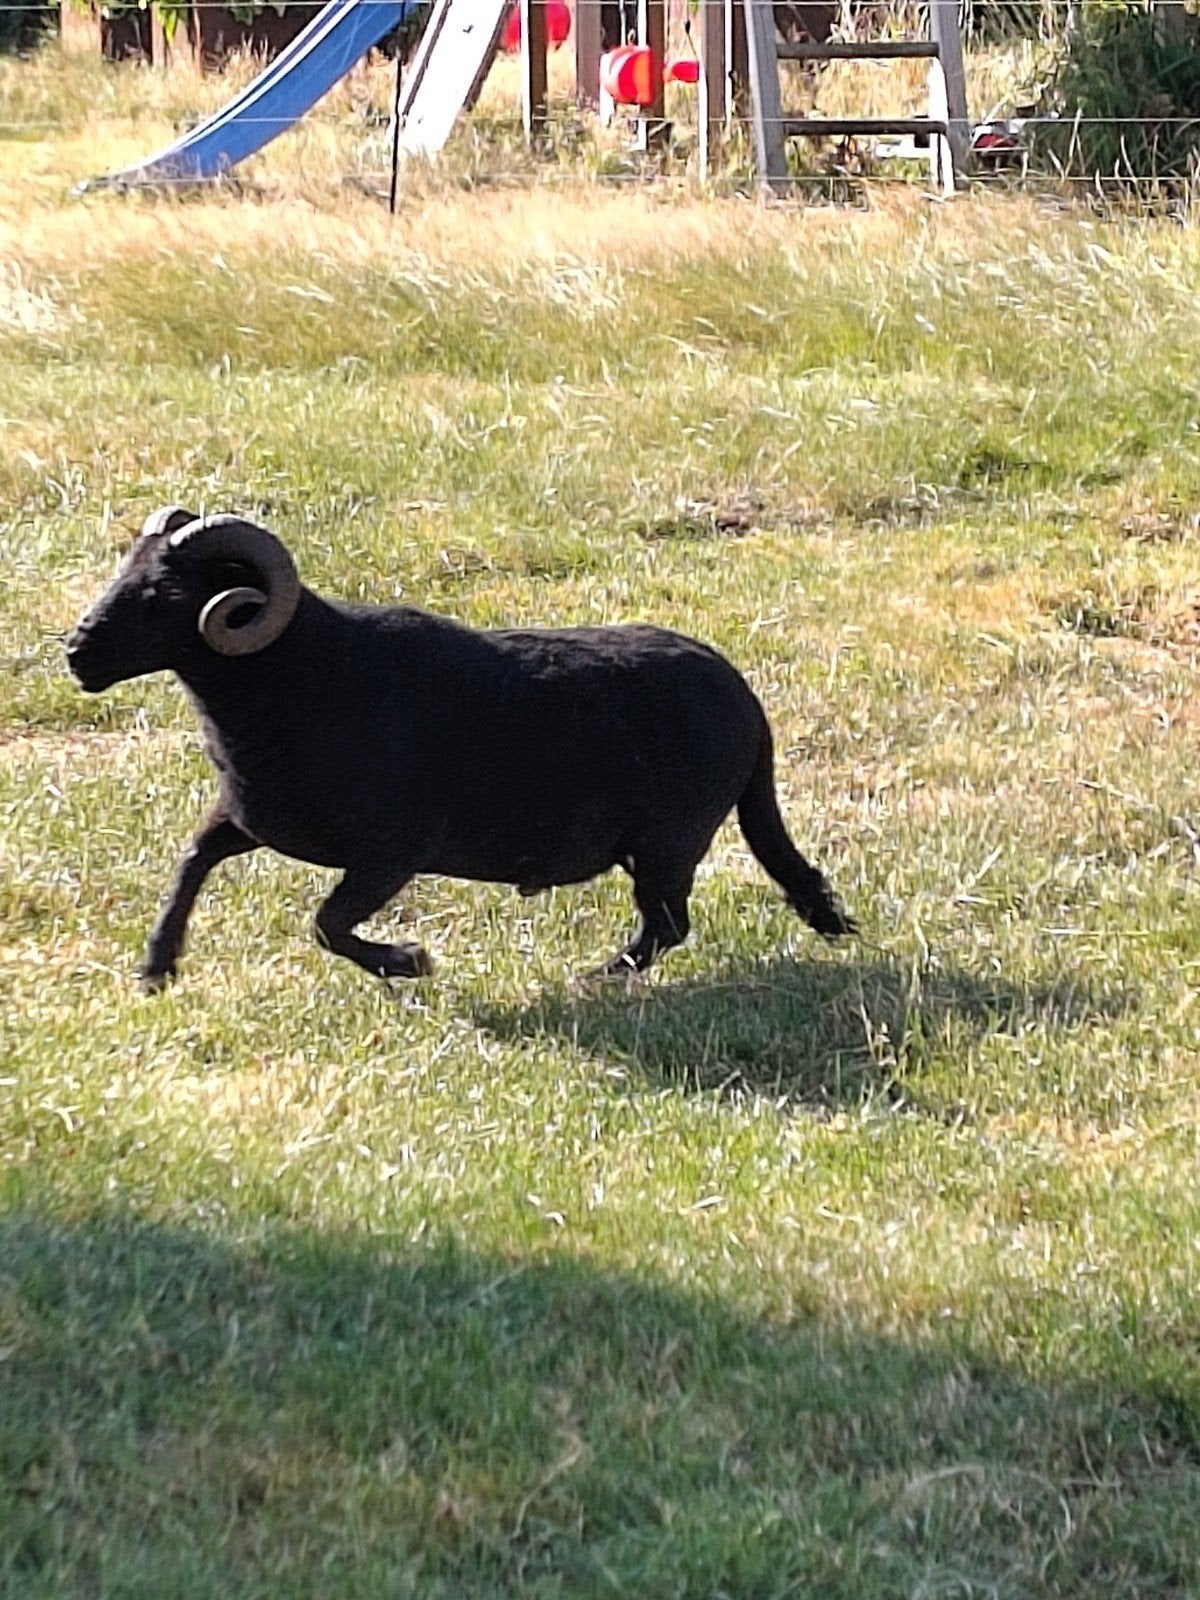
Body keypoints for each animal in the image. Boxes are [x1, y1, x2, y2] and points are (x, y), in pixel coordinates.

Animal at [65, 508, 854, 987]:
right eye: (126, 569)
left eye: (166, 595)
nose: (76, 654)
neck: (308, 675)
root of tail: (748, 703)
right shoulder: (245, 818)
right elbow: (192, 862)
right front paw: (157, 967)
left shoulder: (390, 853)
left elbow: (327, 925)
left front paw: (408, 962)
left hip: (668, 842)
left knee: (668, 925)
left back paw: (598, 978)